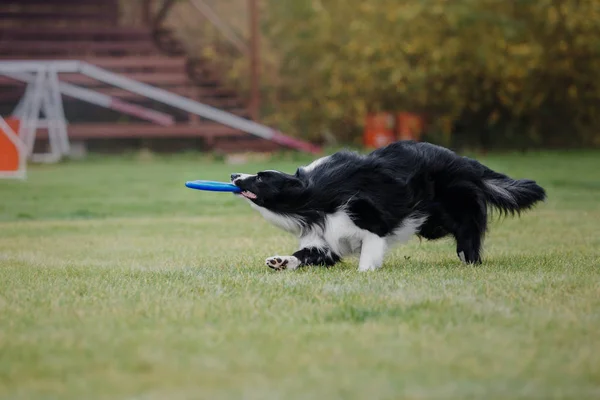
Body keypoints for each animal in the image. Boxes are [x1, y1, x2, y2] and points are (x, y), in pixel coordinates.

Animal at [229, 141, 544, 272]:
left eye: (261, 177)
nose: (233, 175)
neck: (313, 199)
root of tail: (466, 162)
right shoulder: (322, 238)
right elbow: (310, 254)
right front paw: (281, 261)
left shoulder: (370, 220)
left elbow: (370, 248)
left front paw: (366, 272)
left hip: (456, 212)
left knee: (468, 240)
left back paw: (471, 264)